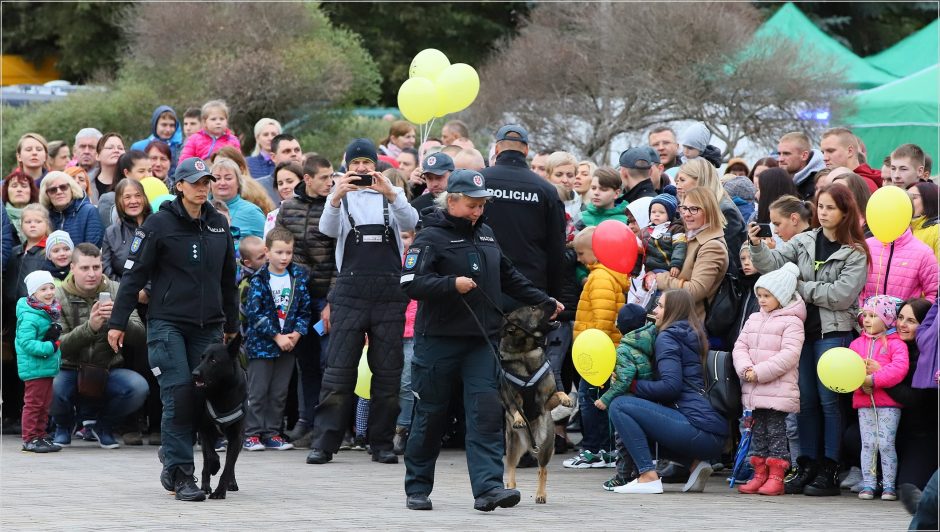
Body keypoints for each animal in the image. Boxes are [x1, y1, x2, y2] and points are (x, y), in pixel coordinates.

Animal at [191, 336, 248, 498]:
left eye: (213, 360)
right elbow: (211, 456)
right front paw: (214, 467)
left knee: (231, 463)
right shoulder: (204, 430)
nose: (194, 373)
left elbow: (228, 466)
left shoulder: (236, 436)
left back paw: (231, 483)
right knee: (206, 460)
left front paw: (220, 491)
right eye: (202, 358)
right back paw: (205, 484)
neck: (221, 392)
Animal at [500, 302, 572, 504]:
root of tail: (530, 442)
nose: (553, 301)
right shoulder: (511, 398)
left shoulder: (545, 403)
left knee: (543, 469)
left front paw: (567, 398)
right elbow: (516, 407)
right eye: (532, 308)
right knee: (510, 467)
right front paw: (519, 419)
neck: (525, 353)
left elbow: (559, 392)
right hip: (512, 445)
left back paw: (540, 494)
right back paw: (510, 487)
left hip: (545, 447)